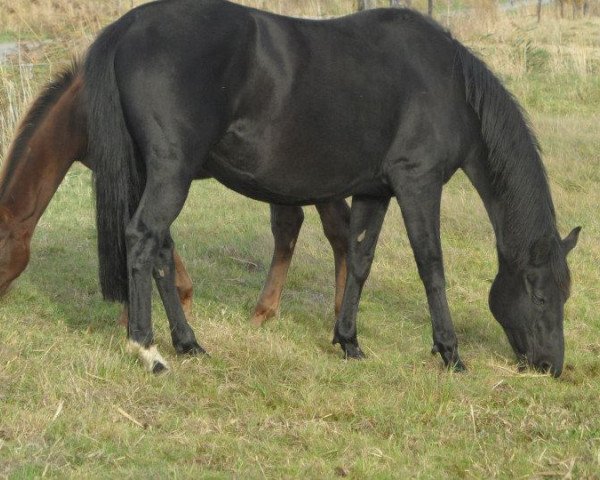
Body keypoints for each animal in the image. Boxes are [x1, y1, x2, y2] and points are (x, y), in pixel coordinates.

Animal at [82, 0, 580, 376]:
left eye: (566, 294)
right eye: (539, 294)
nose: (551, 366)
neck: (447, 84)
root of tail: (128, 26)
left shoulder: (375, 190)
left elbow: (359, 260)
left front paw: (348, 341)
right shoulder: (417, 183)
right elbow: (431, 265)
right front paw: (450, 352)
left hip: (153, 173)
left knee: (162, 250)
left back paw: (188, 342)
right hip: (173, 172)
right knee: (143, 239)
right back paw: (147, 348)